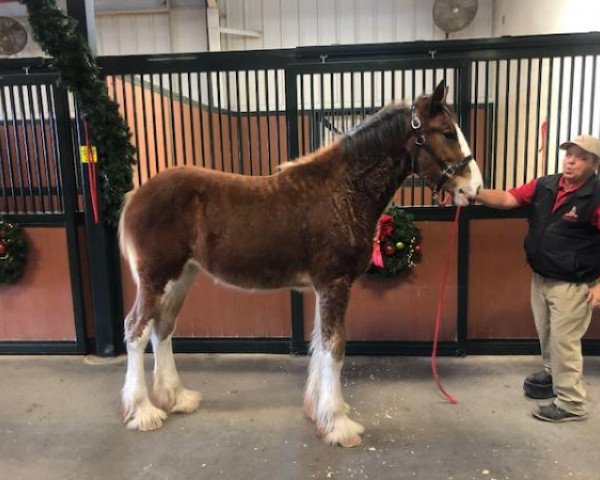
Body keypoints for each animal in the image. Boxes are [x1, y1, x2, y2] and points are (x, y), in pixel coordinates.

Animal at [117, 81, 482, 446]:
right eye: (447, 132)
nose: (474, 188)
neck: (344, 191)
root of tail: (135, 196)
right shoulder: (334, 283)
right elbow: (334, 346)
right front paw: (338, 424)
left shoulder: (324, 288)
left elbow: (320, 343)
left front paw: (321, 411)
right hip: (156, 278)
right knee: (136, 329)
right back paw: (143, 411)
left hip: (182, 277)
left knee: (162, 328)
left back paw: (176, 398)